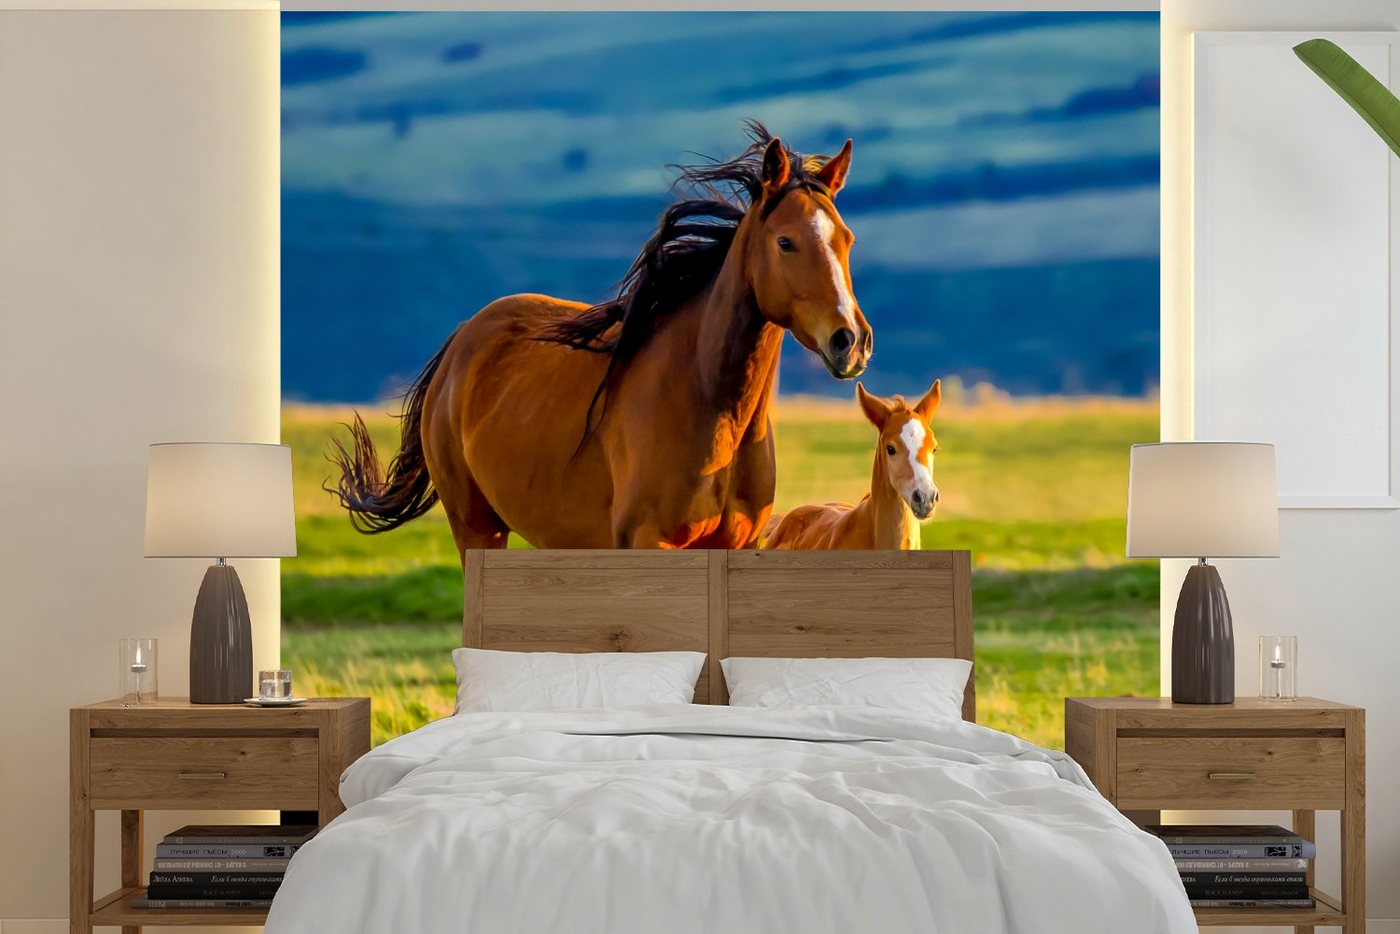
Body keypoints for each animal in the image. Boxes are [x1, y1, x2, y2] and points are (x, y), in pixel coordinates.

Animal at [329, 122, 873, 554]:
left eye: (846, 239)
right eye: (785, 242)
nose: (850, 341)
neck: (708, 405)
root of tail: (462, 341)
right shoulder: (647, 541)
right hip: (476, 526)